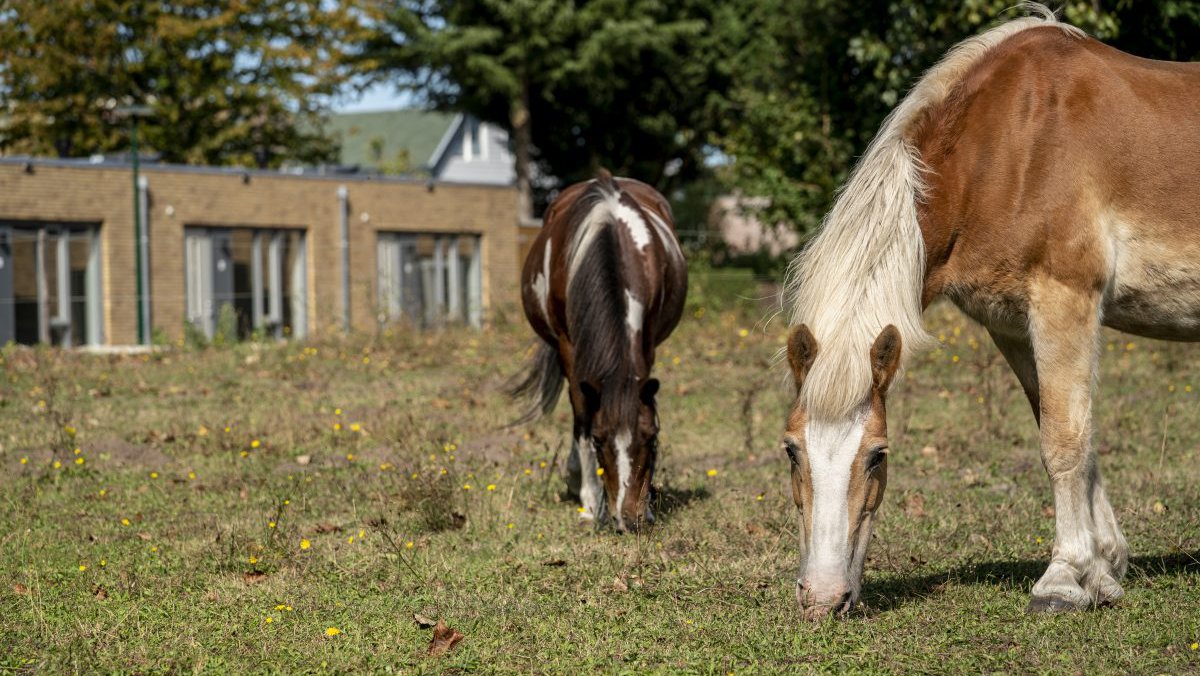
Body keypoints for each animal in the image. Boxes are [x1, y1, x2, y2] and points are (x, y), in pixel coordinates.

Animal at [511, 170, 691, 535]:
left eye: (651, 439)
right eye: (598, 440)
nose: (629, 519)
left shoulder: (646, 340)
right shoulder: (569, 347)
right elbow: (581, 413)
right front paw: (592, 504)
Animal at [777, 5, 1200, 619]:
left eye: (878, 455)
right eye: (791, 451)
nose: (823, 599)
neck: (1011, 146)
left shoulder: (1064, 301)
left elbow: (1064, 441)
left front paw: (1063, 580)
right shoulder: (1013, 325)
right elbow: (1066, 428)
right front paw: (1103, 571)